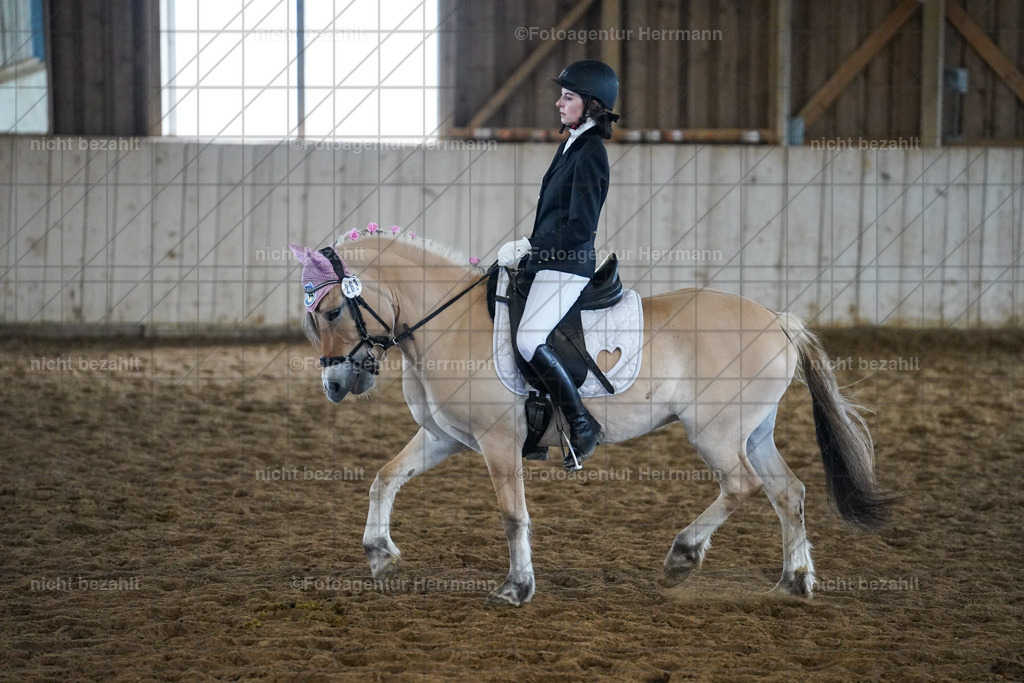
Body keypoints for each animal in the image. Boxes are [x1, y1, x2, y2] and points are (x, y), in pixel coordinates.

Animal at [293, 229, 891, 607]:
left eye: (332, 311)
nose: (335, 386)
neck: (449, 322)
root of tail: (779, 320)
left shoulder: (498, 442)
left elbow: (512, 516)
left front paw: (516, 589)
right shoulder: (447, 437)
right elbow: (384, 477)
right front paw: (378, 555)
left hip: (716, 432)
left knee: (741, 486)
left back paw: (684, 554)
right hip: (755, 431)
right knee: (788, 492)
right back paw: (793, 583)